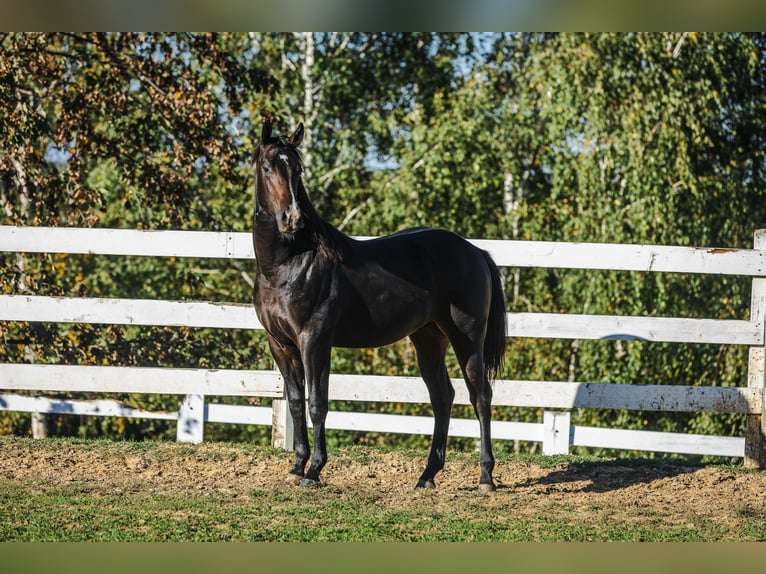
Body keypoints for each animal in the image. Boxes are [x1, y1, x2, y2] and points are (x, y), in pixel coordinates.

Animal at [249, 119, 508, 492]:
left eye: (297, 169)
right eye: (268, 166)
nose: (292, 218)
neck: (290, 263)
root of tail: (475, 252)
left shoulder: (315, 340)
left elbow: (317, 403)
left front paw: (314, 470)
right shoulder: (281, 344)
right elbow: (296, 402)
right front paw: (297, 467)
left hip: (468, 340)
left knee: (481, 396)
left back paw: (486, 476)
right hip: (428, 340)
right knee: (442, 397)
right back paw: (427, 475)